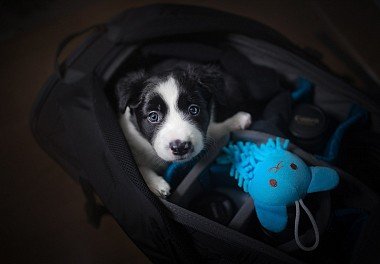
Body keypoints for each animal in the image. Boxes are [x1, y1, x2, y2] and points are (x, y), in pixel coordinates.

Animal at [116, 64, 252, 196]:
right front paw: (156, 184)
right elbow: (137, 166)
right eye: (153, 116)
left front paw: (237, 121)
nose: (180, 147)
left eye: (194, 109)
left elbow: (213, 130)